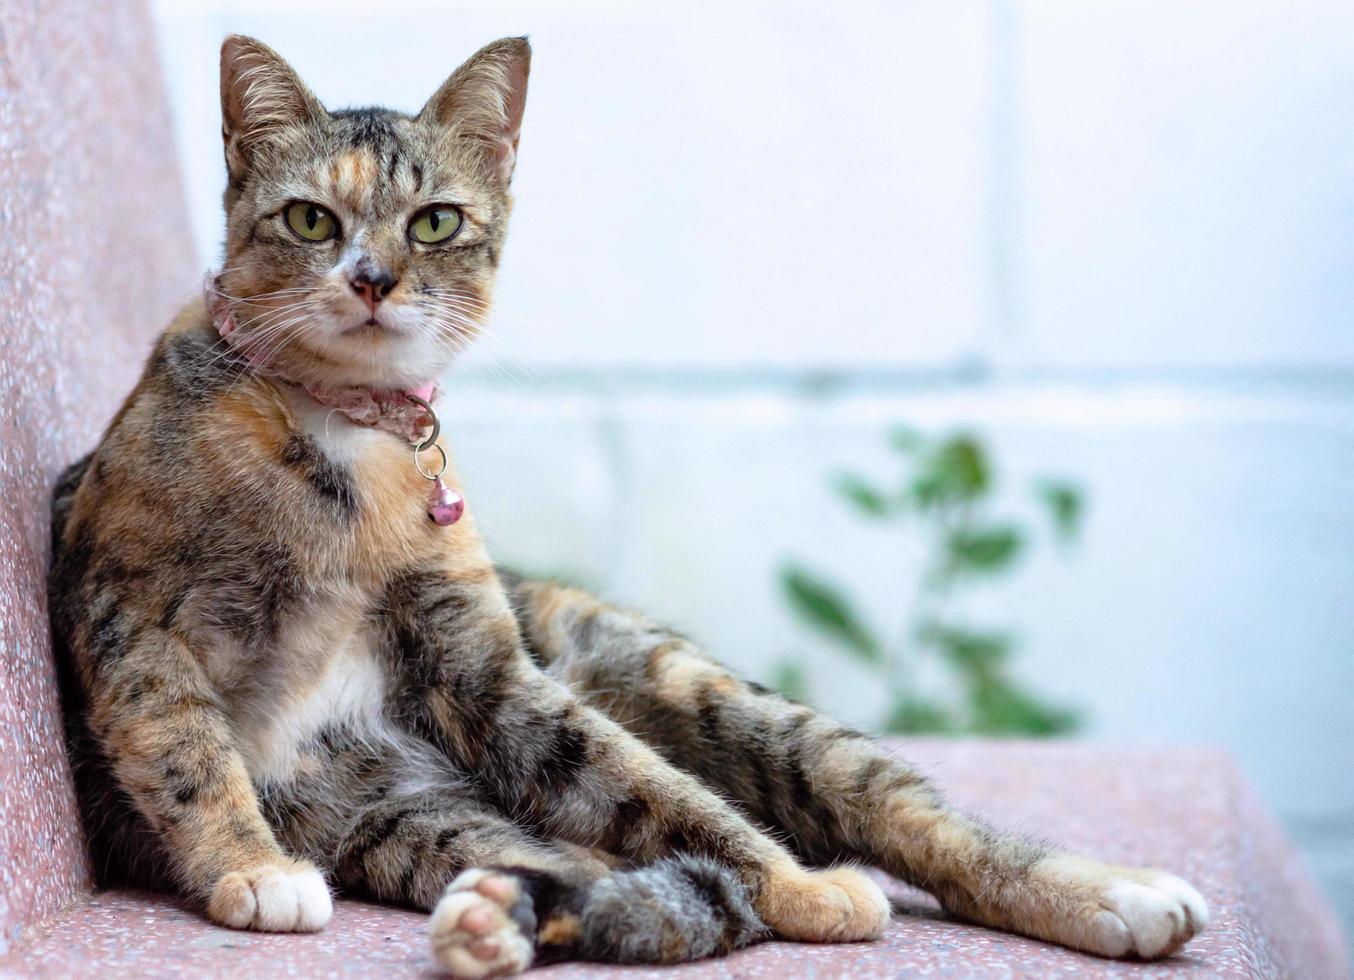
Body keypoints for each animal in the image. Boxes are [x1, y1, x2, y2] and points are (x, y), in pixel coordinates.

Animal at [45, 32, 1207, 980]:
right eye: (308, 218)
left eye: (435, 222)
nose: (372, 278)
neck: (346, 439)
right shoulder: (130, 613)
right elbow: (185, 749)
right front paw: (253, 866)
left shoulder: (491, 672)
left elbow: (656, 789)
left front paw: (800, 890)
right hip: (408, 816)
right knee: (595, 871)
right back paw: (499, 921)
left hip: (691, 689)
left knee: (894, 815)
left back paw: (1118, 893)